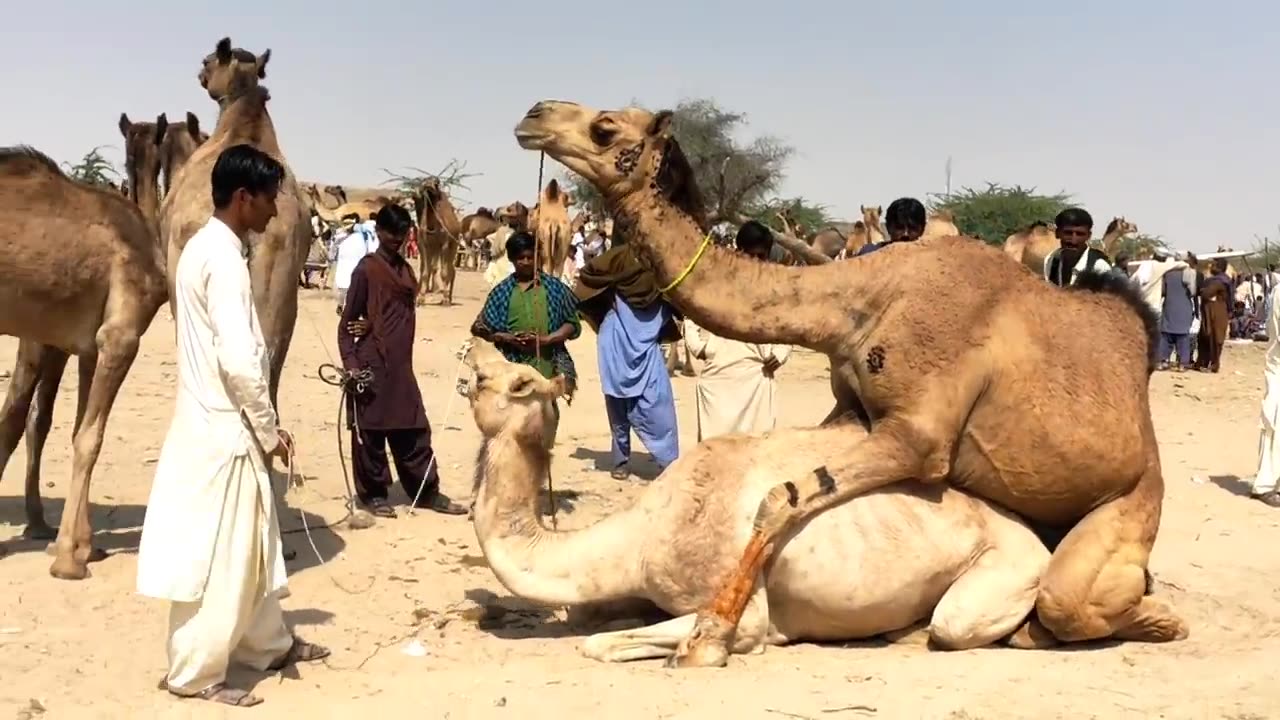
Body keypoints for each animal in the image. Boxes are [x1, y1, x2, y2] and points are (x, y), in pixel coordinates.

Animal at [465, 340, 1044, 661]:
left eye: (504, 378)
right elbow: (593, 623)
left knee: (953, 624)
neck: (639, 539)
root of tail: (1034, 535)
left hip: (1009, 570)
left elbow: (602, 644)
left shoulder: (740, 610)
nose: (471, 346)